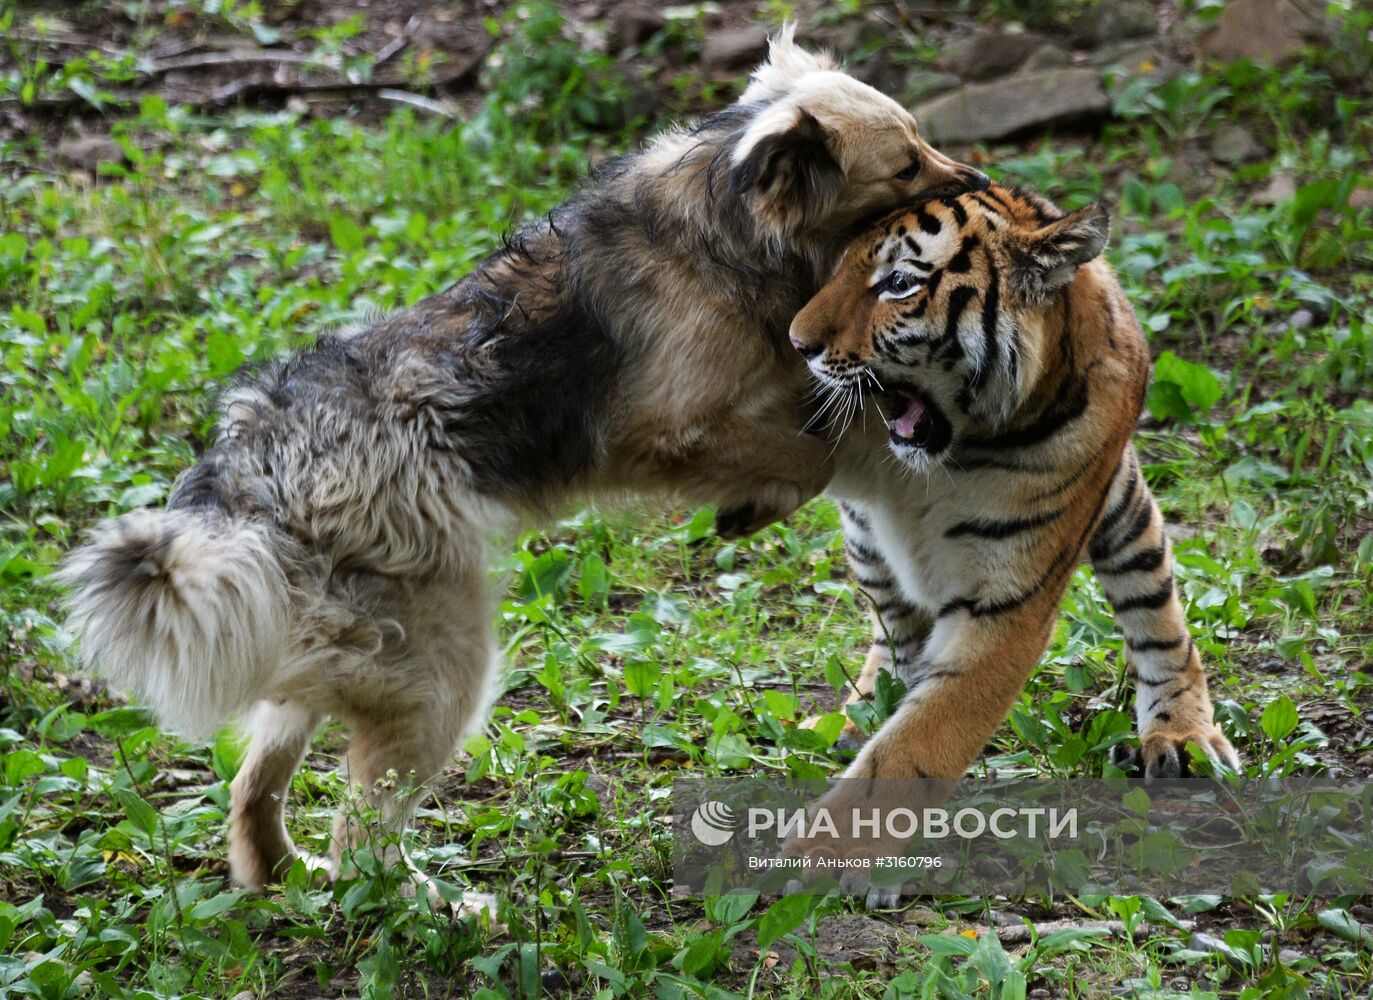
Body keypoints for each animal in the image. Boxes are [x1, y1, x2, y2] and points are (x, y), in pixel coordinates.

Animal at [61, 31, 988, 906]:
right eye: (906, 163)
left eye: (920, 142)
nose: (977, 174)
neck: (727, 220)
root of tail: (249, 485)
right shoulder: (663, 427)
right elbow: (808, 451)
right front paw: (754, 501)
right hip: (443, 667)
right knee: (363, 838)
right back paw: (433, 908)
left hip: (327, 656)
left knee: (256, 788)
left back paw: (283, 873)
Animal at [779, 184, 1241, 901]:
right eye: (840, 268)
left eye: (898, 283)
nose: (796, 342)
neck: (956, 455)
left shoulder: (1008, 606)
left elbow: (916, 742)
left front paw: (822, 853)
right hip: (863, 539)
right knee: (893, 632)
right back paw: (857, 712)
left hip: (1121, 509)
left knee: (1158, 610)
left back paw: (1182, 732)